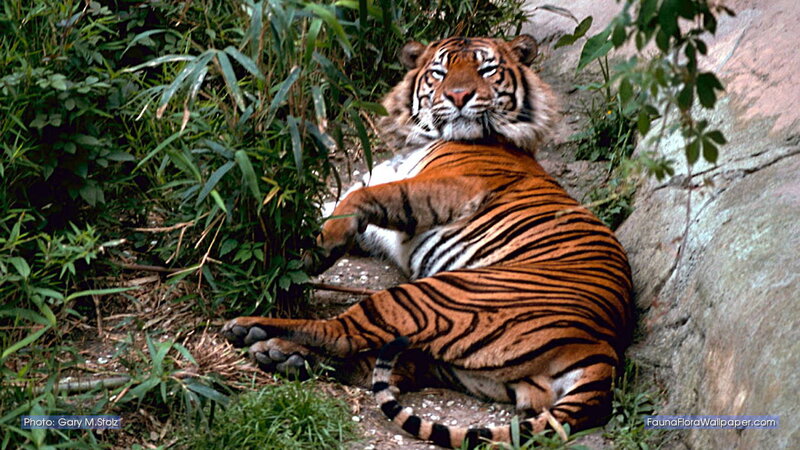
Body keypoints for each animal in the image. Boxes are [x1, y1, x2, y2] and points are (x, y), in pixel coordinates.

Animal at [222, 35, 633, 449]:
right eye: (440, 72)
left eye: (486, 69)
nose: (459, 96)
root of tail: (601, 349)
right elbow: (331, 206)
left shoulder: (451, 187)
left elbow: (358, 200)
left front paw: (313, 251)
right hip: (469, 368)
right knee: (384, 363)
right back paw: (283, 356)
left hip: (427, 296)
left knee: (342, 335)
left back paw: (254, 330)